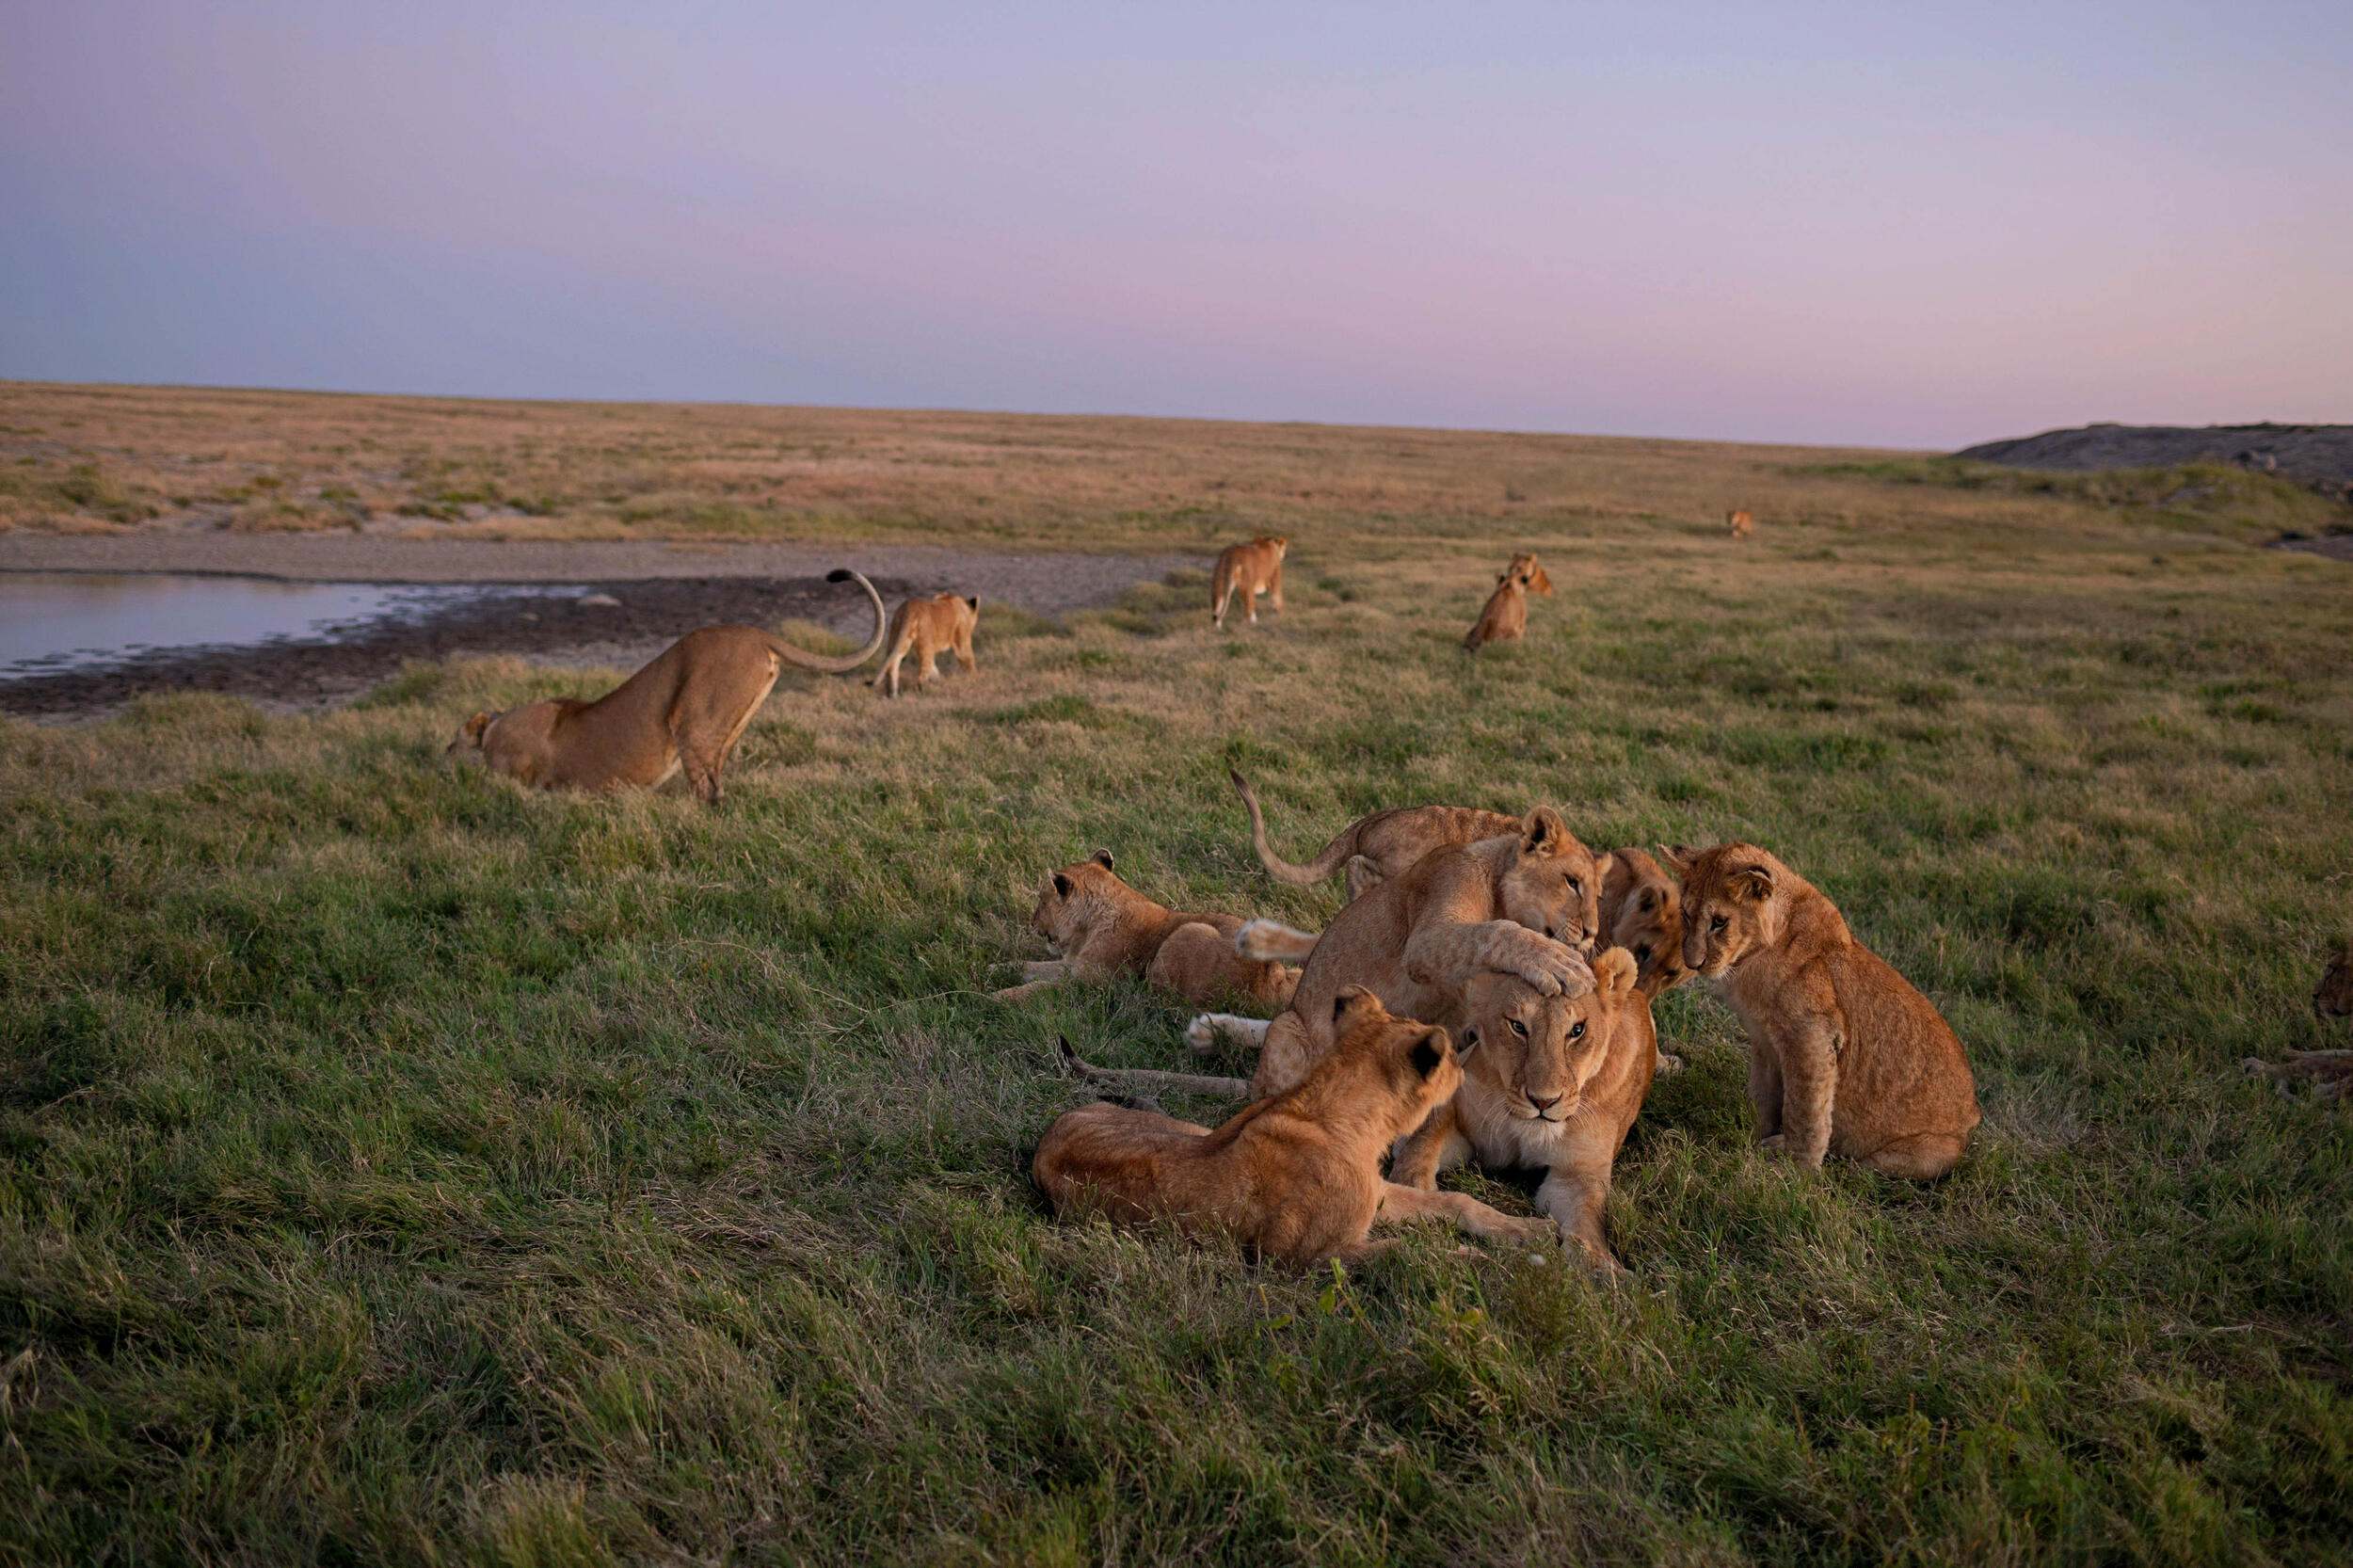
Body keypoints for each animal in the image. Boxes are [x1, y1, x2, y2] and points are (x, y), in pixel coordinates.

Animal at [447, 568, 884, 804]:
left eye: (453, 737)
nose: (446, 751)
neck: (493, 729)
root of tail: (756, 633)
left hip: (693, 719)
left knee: (707, 789)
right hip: (727, 722)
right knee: (716, 781)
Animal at [993, 850, 1298, 1009]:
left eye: (1041, 901)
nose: (1031, 923)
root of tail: (1269, 980)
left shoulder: (1093, 981)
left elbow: (1041, 987)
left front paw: (999, 997)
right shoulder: (1074, 966)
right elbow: (1032, 966)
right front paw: (997, 969)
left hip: (1187, 931)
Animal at [1034, 987, 1556, 1266]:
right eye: (1446, 1055)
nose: (1470, 1039)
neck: (1330, 1110)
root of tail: (1047, 1140)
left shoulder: (1378, 1194)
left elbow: (1457, 1202)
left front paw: (1528, 1232)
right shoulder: (1306, 1258)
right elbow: (1412, 1252)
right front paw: (1490, 1266)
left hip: (1194, 1129)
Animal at [1391, 949, 1658, 1272]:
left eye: (1577, 1030)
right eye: (1518, 1027)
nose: (1543, 1101)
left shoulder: (1576, 1174)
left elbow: (1588, 1218)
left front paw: (1601, 1267)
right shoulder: (1460, 1110)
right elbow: (1424, 1143)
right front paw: (1415, 1187)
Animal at [1666, 842, 1980, 1178]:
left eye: (1719, 922)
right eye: (1685, 914)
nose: (1692, 963)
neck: (1751, 959)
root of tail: (1972, 1117)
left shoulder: (1811, 1036)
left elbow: (1804, 1109)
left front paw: (1796, 1169)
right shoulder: (1764, 1041)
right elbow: (1763, 1095)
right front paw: (1750, 1139)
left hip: (1925, 1152)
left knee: (1859, 1165)